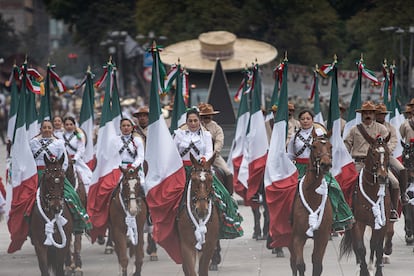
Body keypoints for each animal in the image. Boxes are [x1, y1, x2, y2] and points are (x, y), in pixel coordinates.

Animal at [288, 132, 334, 276]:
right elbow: (300, 265)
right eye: (313, 146)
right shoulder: (298, 237)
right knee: (293, 263)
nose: (325, 164)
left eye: (331, 146)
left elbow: (317, 265)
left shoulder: (322, 238)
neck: (313, 199)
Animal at [340, 134, 392, 276]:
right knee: (356, 246)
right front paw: (363, 271)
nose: (382, 177)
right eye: (373, 153)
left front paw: (377, 271)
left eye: (388, 153)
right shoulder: (358, 222)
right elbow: (360, 248)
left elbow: (377, 246)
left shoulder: (381, 223)